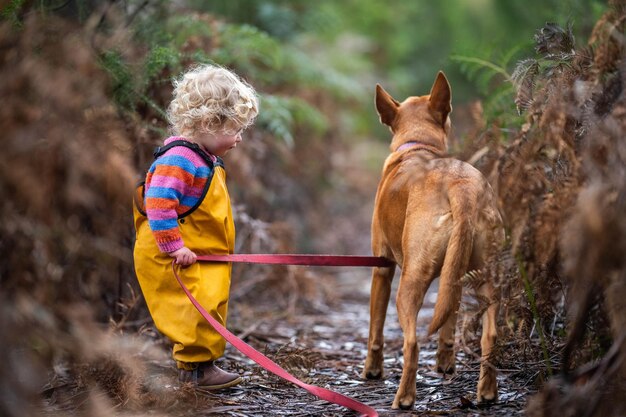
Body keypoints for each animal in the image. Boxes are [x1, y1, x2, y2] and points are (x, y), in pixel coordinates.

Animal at [360, 72, 502, 410]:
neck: (417, 147)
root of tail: (461, 187)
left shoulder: (382, 269)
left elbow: (375, 330)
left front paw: (372, 370)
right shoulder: (455, 276)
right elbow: (448, 321)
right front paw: (445, 362)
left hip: (409, 285)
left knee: (411, 343)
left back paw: (404, 398)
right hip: (483, 277)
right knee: (490, 335)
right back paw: (487, 391)